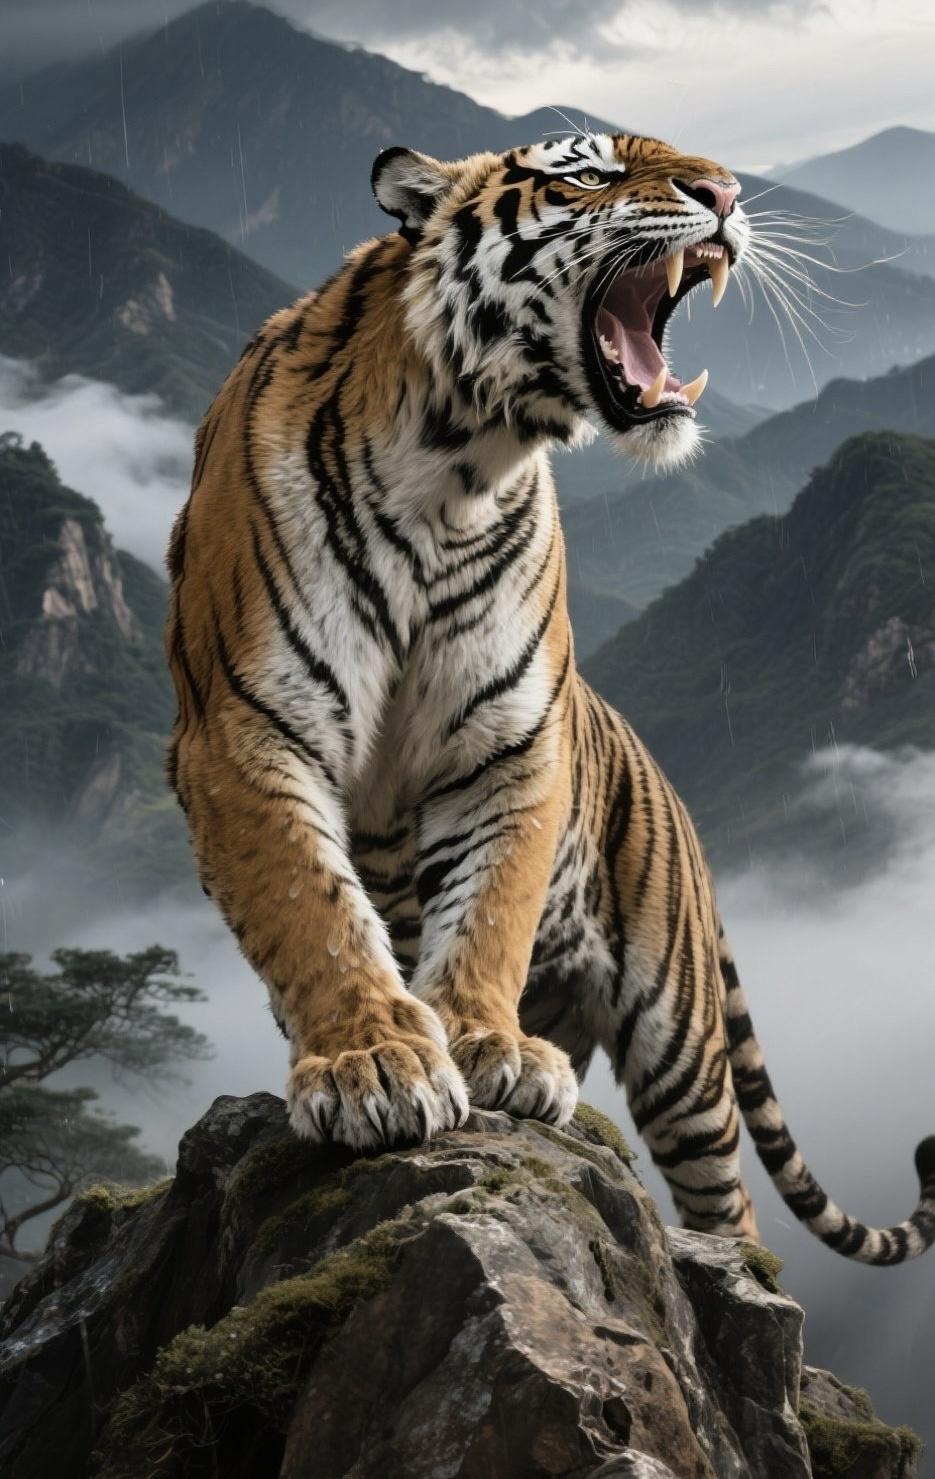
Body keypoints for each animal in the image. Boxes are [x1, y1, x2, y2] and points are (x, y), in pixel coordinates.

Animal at [166, 128, 935, 1265]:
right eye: (586, 172)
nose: (725, 190)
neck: (454, 464)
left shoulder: (506, 740)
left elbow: (488, 904)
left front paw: (483, 1044)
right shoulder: (246, 731)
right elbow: (313, 909)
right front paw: (372, 1063)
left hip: (681, 1046)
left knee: (730, 1203)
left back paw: (733, 1268)